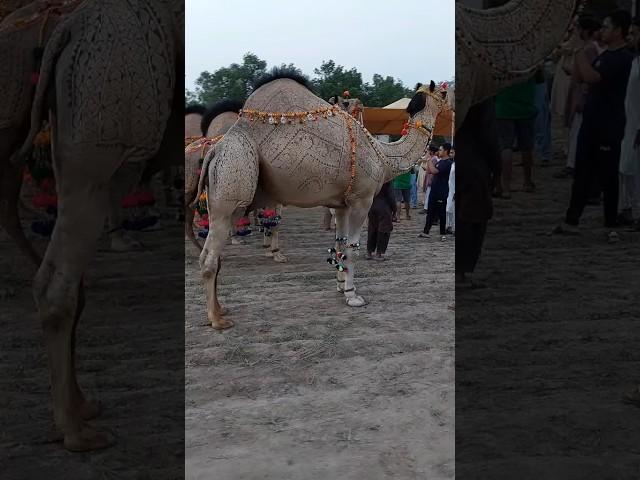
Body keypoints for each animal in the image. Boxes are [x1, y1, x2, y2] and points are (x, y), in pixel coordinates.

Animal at [198, 71, 448, 330]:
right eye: (443, 92)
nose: (450, 103)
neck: (383, 155)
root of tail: (215, 150)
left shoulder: (342, 204)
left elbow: (340, 244)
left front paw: (340, 287)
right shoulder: (361, 199)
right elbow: (353, 248)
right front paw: (353, 295)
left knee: (209, 255)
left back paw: (220, 309)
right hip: (232, 183)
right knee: (210, 258)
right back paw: (216, 319)